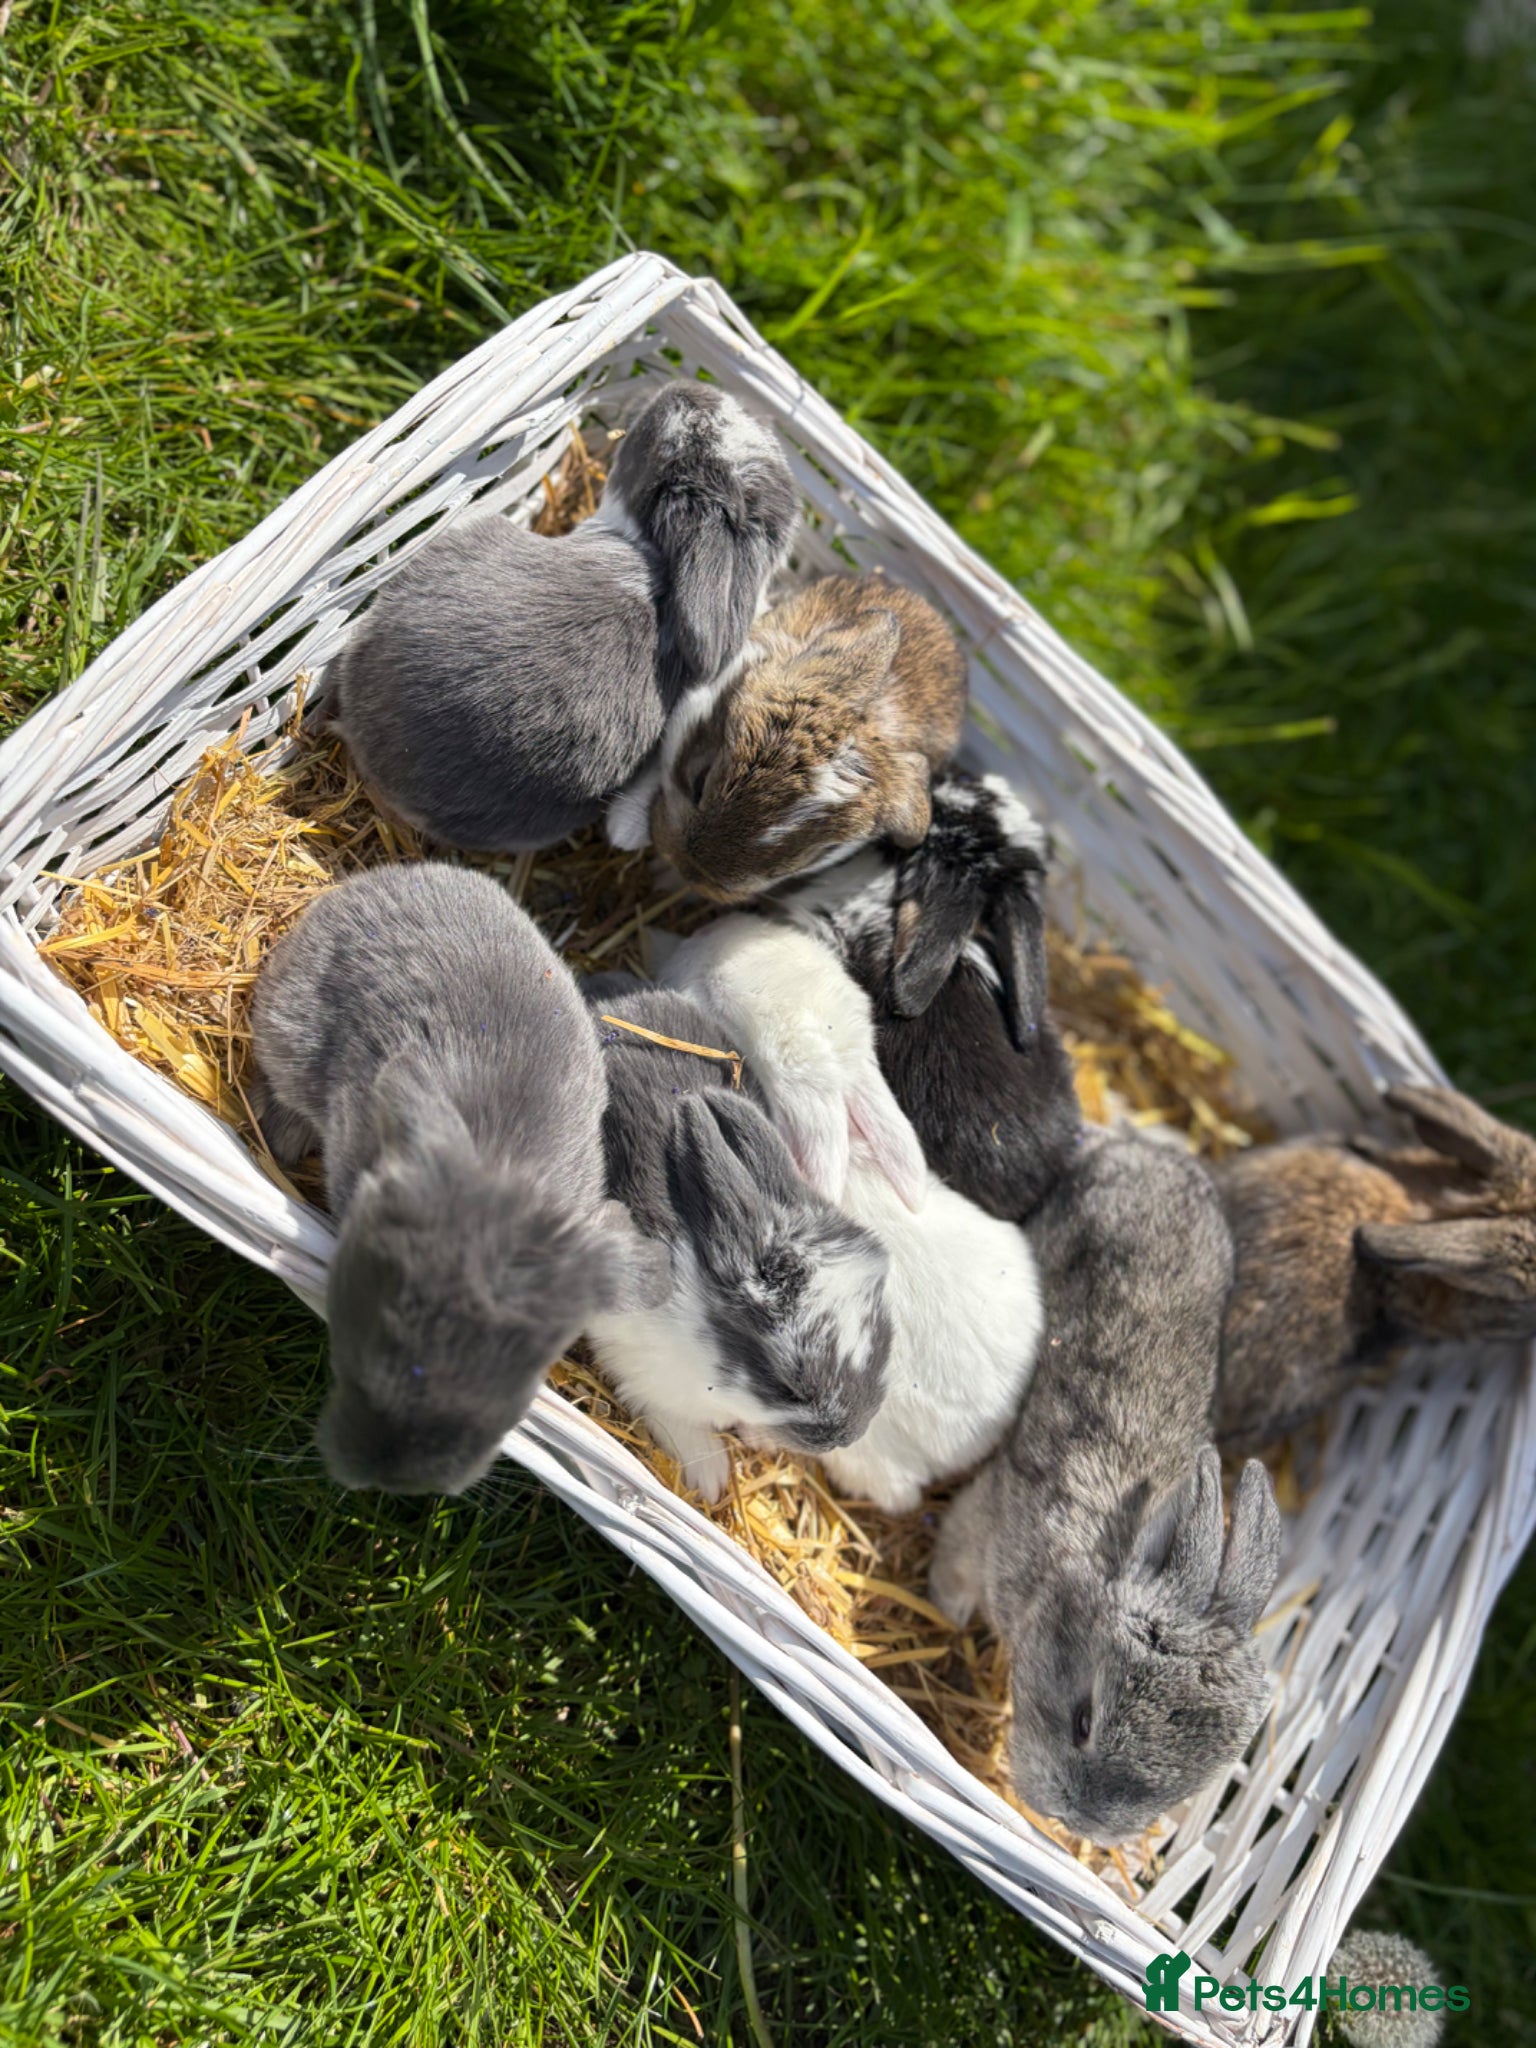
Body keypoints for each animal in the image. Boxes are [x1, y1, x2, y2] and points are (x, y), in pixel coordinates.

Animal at [929, 1125, 1283, 1845]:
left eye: (1182, 1787)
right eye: (1082, 1721)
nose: (1078, 1822)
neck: (1085, 1570)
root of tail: (1140, 1146)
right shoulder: (992, 1516)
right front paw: (945, 1610)